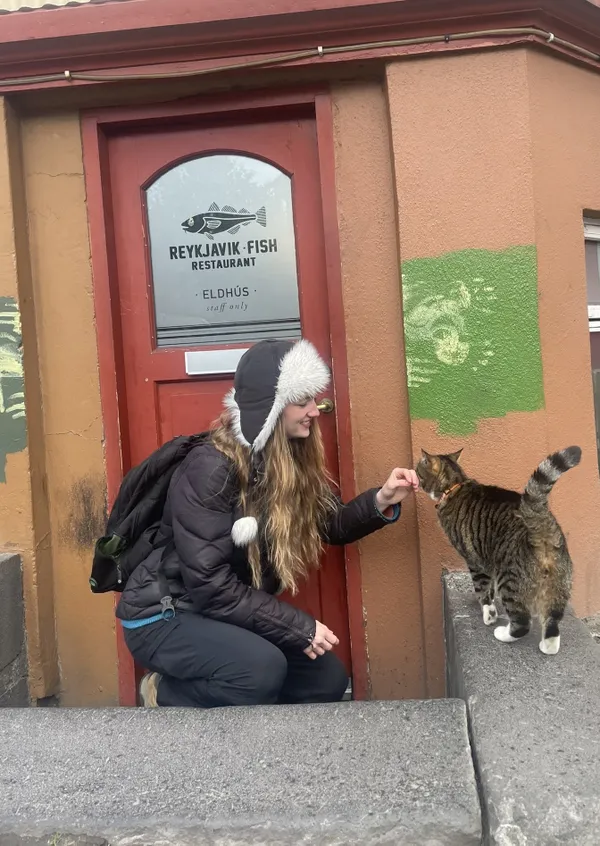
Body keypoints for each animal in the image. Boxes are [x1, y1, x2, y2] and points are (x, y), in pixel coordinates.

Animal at [418, 448, 580, 660]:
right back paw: (547, 646)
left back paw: (503, 634)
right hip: (558, 585)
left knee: (522, 622)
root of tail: (542, 522)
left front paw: (488, 613)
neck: (454, 485)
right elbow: (490, 588)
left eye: (418, 471)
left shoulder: (476, 560)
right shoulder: (490, 560)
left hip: (510, 581)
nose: (415, 479)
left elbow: (482, 589)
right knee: (552, 624)